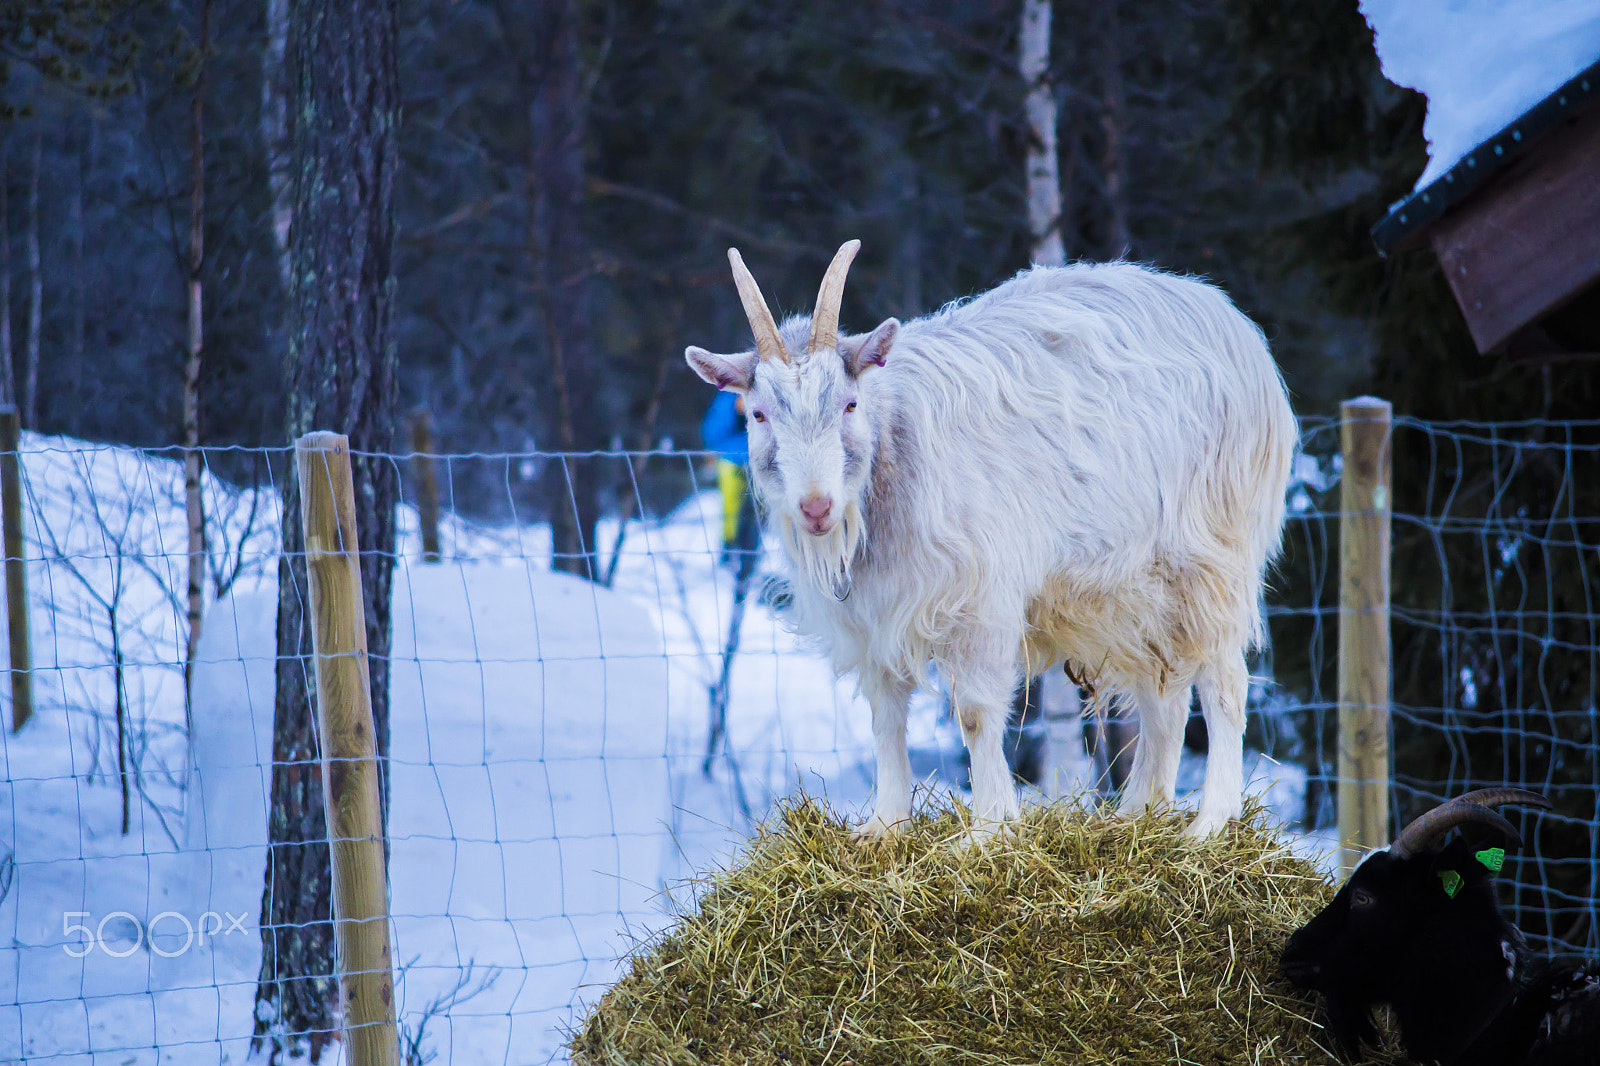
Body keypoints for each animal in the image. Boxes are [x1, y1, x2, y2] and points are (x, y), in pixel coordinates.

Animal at [681, 240, 1292, 838]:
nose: (815, 507)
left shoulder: (977, 599)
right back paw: (1137, 815)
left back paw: (1209, 823)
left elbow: (975, 713)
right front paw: (885, 824)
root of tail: (1233, 326)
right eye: (758, 415)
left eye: (849, 405)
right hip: (1133, 587)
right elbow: (885, 714)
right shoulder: (873, 616)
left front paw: (990, 829)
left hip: (1213, 554)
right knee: (1164, 691)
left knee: (1225, 681)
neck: (893, 451)